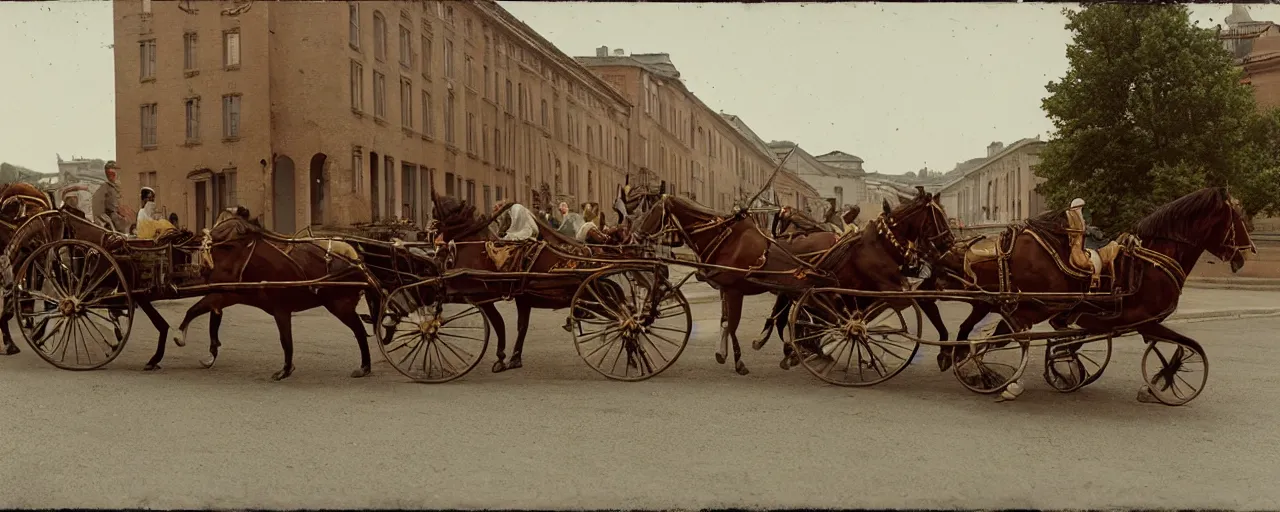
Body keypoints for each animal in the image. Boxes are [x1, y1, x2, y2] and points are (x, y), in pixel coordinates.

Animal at [629, 189, 952, 373]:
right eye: (938, 216)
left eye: (652, 211)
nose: (637, 233)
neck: (727, 237)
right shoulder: (729, 290)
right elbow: (726, 323)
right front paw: (727, 353)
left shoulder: (734, 290)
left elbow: (732, 324)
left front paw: (739, 360)